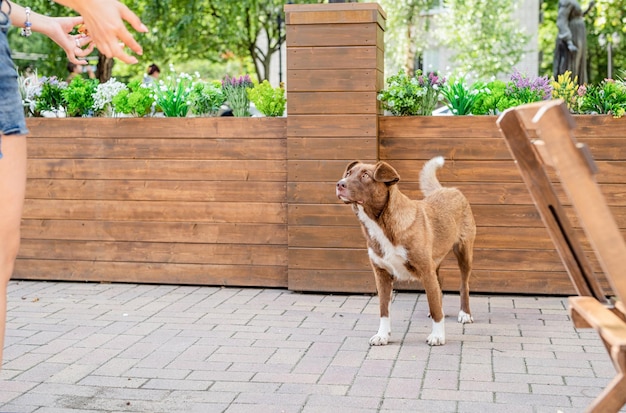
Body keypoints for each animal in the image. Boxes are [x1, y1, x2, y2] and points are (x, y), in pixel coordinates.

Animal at [336, 157, 472, 344]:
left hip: (464, 253)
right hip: (435, 262)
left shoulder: (426, 271)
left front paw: (437, 335)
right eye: (348, 173)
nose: (339, 184)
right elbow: (384, 309)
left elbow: (435, 307)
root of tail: (447, 189)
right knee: (439, 287)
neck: (381, 224)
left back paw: (465, 314)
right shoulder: (382, 274)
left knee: (463, 285)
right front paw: (382, 335)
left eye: (365, 175)